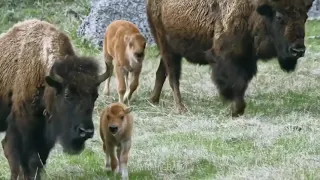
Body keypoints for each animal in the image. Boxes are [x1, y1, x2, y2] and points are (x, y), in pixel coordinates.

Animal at [0, 19, 110, 179]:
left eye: (95, 96)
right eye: (67, 95)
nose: (86, 131)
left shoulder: (45, 135)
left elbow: (37, 162)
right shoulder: (19, 129)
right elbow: (19, 160)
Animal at [147, 0, 316, 116]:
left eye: (305, 16)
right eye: (279, 16)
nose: (298, 50)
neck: (253, 10)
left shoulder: (247, 60)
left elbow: (241, 84)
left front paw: (236, 109)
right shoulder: (226, 58)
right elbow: (235, 83)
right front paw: (235, 109)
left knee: (162, 72)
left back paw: (153, 100)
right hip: (166, 45)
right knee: (173, 76)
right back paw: (180, 108)